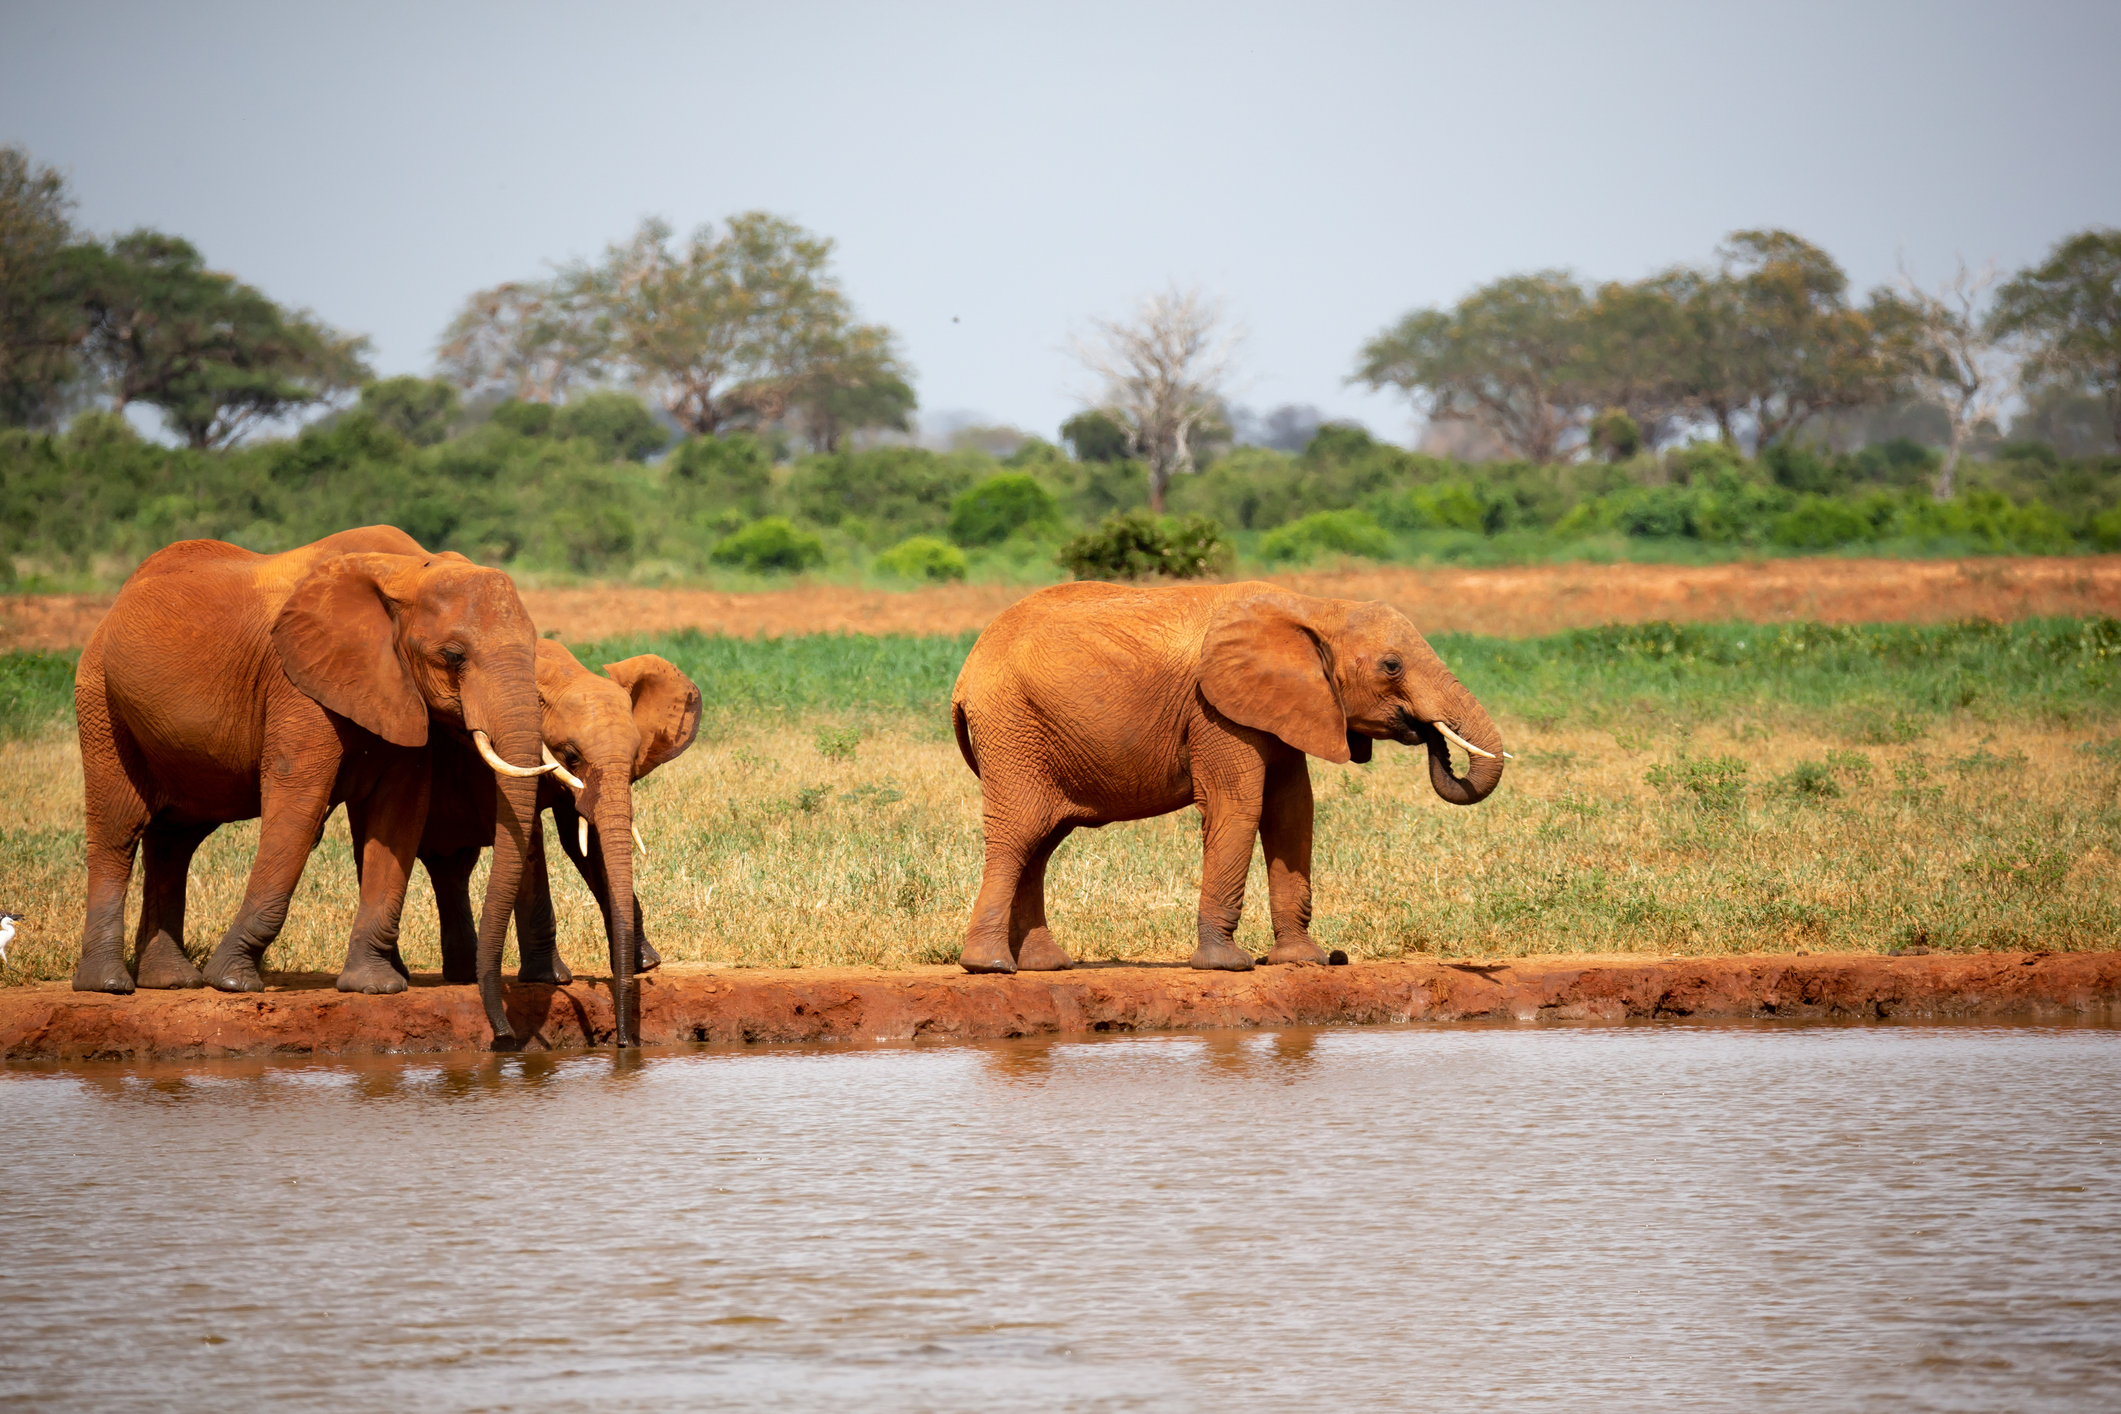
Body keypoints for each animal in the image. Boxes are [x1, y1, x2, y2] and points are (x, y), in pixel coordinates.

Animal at [72, 527, 555, 1043]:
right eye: (454, 657)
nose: (505, 1037)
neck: (409, 570)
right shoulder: (297, 682)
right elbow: (300, 801)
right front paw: (232, 981)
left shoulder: (400, 692)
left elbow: (399, 817)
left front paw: (374, 987)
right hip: (100, 697)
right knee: (119, 831)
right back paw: (107, 985)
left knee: (174, 840)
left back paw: (170, 981)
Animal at [419, 640, 701, 1027]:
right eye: (570, 755)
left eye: (634, 758)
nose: (623, 1036)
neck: (562, 676)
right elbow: (529, 836)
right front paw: (551, 979)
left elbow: (585, 840)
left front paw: (644, 963)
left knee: (452, 866)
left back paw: (463, 973)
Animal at [948, 580, 1507, 974]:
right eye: (1392, 666)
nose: (1428, 734)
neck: (1313, 608)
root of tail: (966, 671)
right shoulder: (1215, 711)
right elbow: (1238, 806)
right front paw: (1228, 966)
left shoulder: (1286, 705)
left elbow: (1293, 813)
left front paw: (1305, 960)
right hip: (1012, 729)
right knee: (1020, 835)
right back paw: (990, 967)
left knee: (1041, 843)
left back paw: (1046, 966)